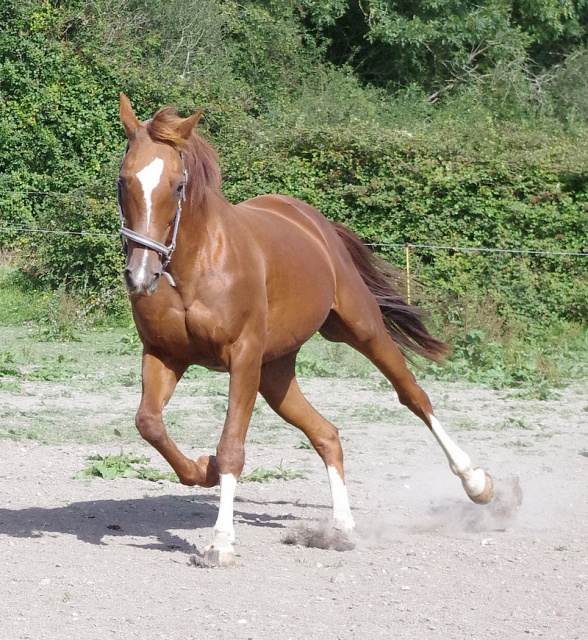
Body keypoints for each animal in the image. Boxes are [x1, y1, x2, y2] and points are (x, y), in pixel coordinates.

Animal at [117, 94, 494, 564]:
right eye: (123, 181)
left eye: (178, 186)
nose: (140, 276)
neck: (196, 264)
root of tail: (314, 220)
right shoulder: (164, 355)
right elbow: (149, 423)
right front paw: (202, 470)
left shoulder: (242, 357)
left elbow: (231, 448)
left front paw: (221, 541)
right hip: (276, 373)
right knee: (327, 434)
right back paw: (342, 527)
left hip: (361, 331)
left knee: (414, 397)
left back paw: (478, 484)